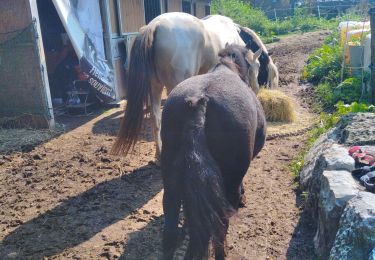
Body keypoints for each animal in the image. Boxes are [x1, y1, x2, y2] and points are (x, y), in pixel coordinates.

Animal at [111, 13, 276, 159]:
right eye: (258, 65)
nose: (256, 90)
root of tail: (154, 25)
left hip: (155, 87)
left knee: (155, 118)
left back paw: (159, 155)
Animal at [162, 43, 268, 258]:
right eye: (258, 66)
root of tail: (198, 103)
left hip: (171, 178)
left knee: (170, 223)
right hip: (229, 183)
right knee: (221, 225)